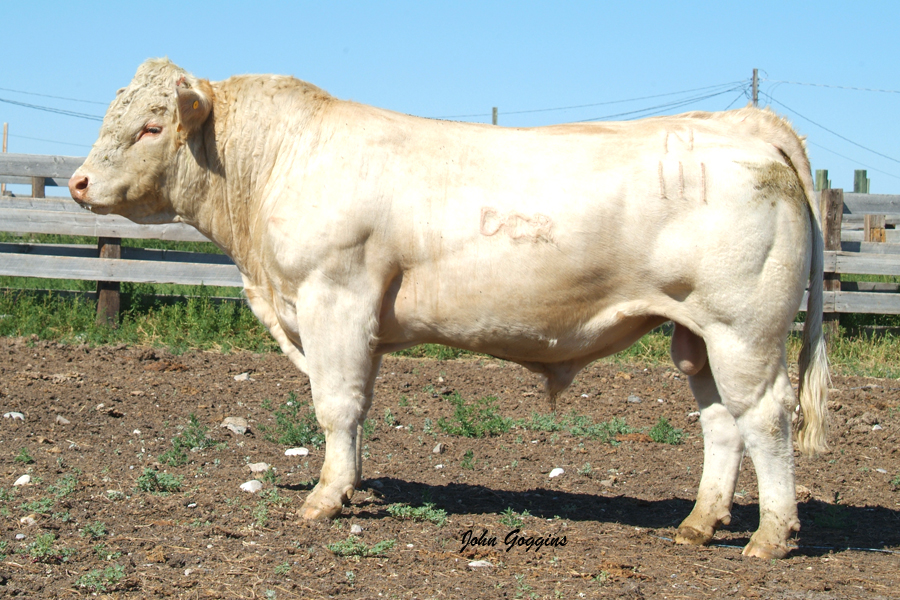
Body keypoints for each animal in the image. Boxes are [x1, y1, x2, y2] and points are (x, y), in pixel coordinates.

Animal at [72, 59, 828, 556]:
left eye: (149, 127)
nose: (78, 182)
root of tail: (742, 124)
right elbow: (356, 407)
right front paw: (349, 485)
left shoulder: (334, 297)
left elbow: (334, 405)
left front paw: (324, 499)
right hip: (695, 334)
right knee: (720, 421)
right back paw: (700, 524)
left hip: (744, 330)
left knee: (764, 418)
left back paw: (770, 535)